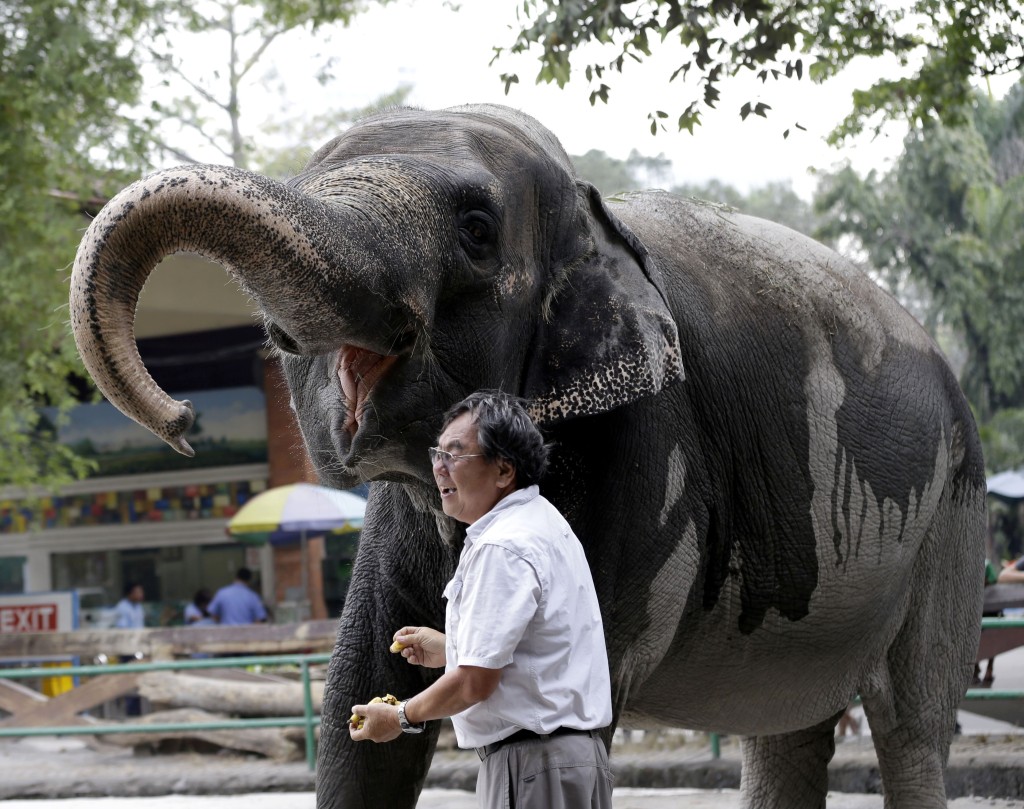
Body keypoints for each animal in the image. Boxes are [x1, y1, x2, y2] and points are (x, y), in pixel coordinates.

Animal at [70, 104, 983, 806]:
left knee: (912, 721)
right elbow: (352, 703)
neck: (595, 215)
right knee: (786, 729)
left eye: (476, 231)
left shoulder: (647, 445)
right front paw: (389, 687)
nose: (183, 417)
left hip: (953, 509)